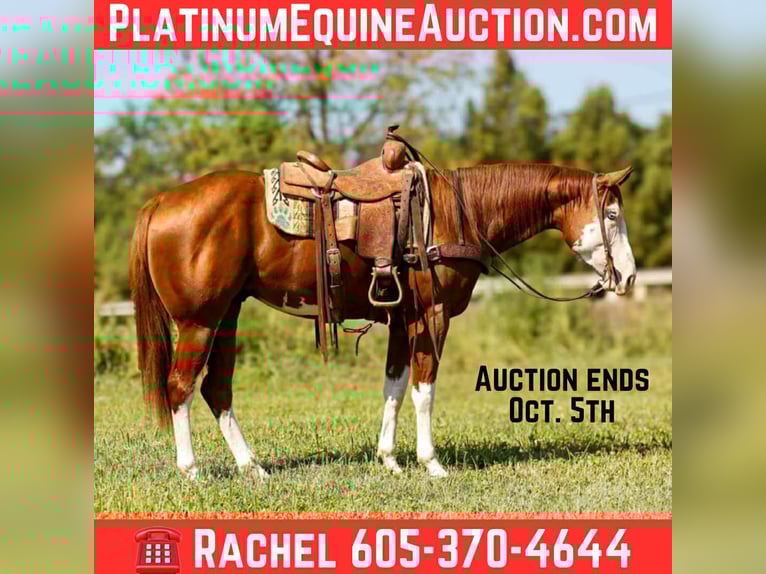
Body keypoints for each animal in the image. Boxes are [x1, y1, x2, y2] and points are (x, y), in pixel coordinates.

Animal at [129, 161, 636, 480]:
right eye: (611, 213)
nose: (628, 276)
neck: (456, 213)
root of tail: (162, 200)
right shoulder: (432, 317)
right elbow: (424, 391)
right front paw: (431, 463)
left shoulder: (401, 319)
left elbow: (394, 386)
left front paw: (389, 459)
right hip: (199, 321)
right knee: (180, 387)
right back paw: (192, 470)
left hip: (228, 314)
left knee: (217, 389)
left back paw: (252, 466)